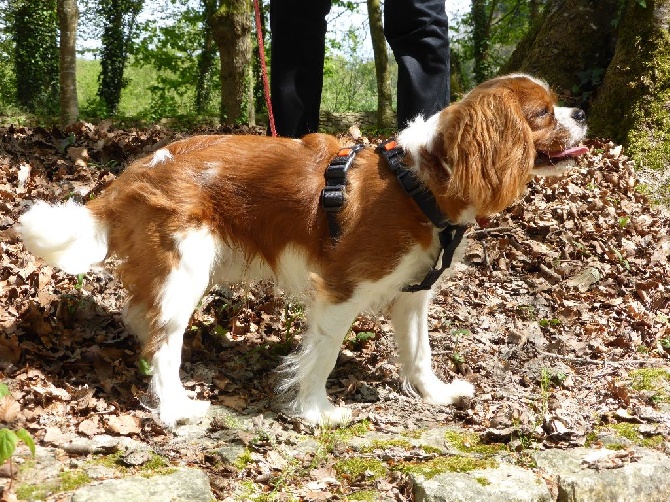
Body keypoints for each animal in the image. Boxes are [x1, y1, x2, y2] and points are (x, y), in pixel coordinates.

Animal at [18, 74, 588, 428]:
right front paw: (316, 412)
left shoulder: (412, 295)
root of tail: (136, 170)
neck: (420, 182)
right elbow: (324, 355)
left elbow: (418, 353)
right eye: (541, 113)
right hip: (184, 271)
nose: (582, 110)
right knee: (163, 342)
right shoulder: (342, 289)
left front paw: (435, 395)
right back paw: (177, 408)